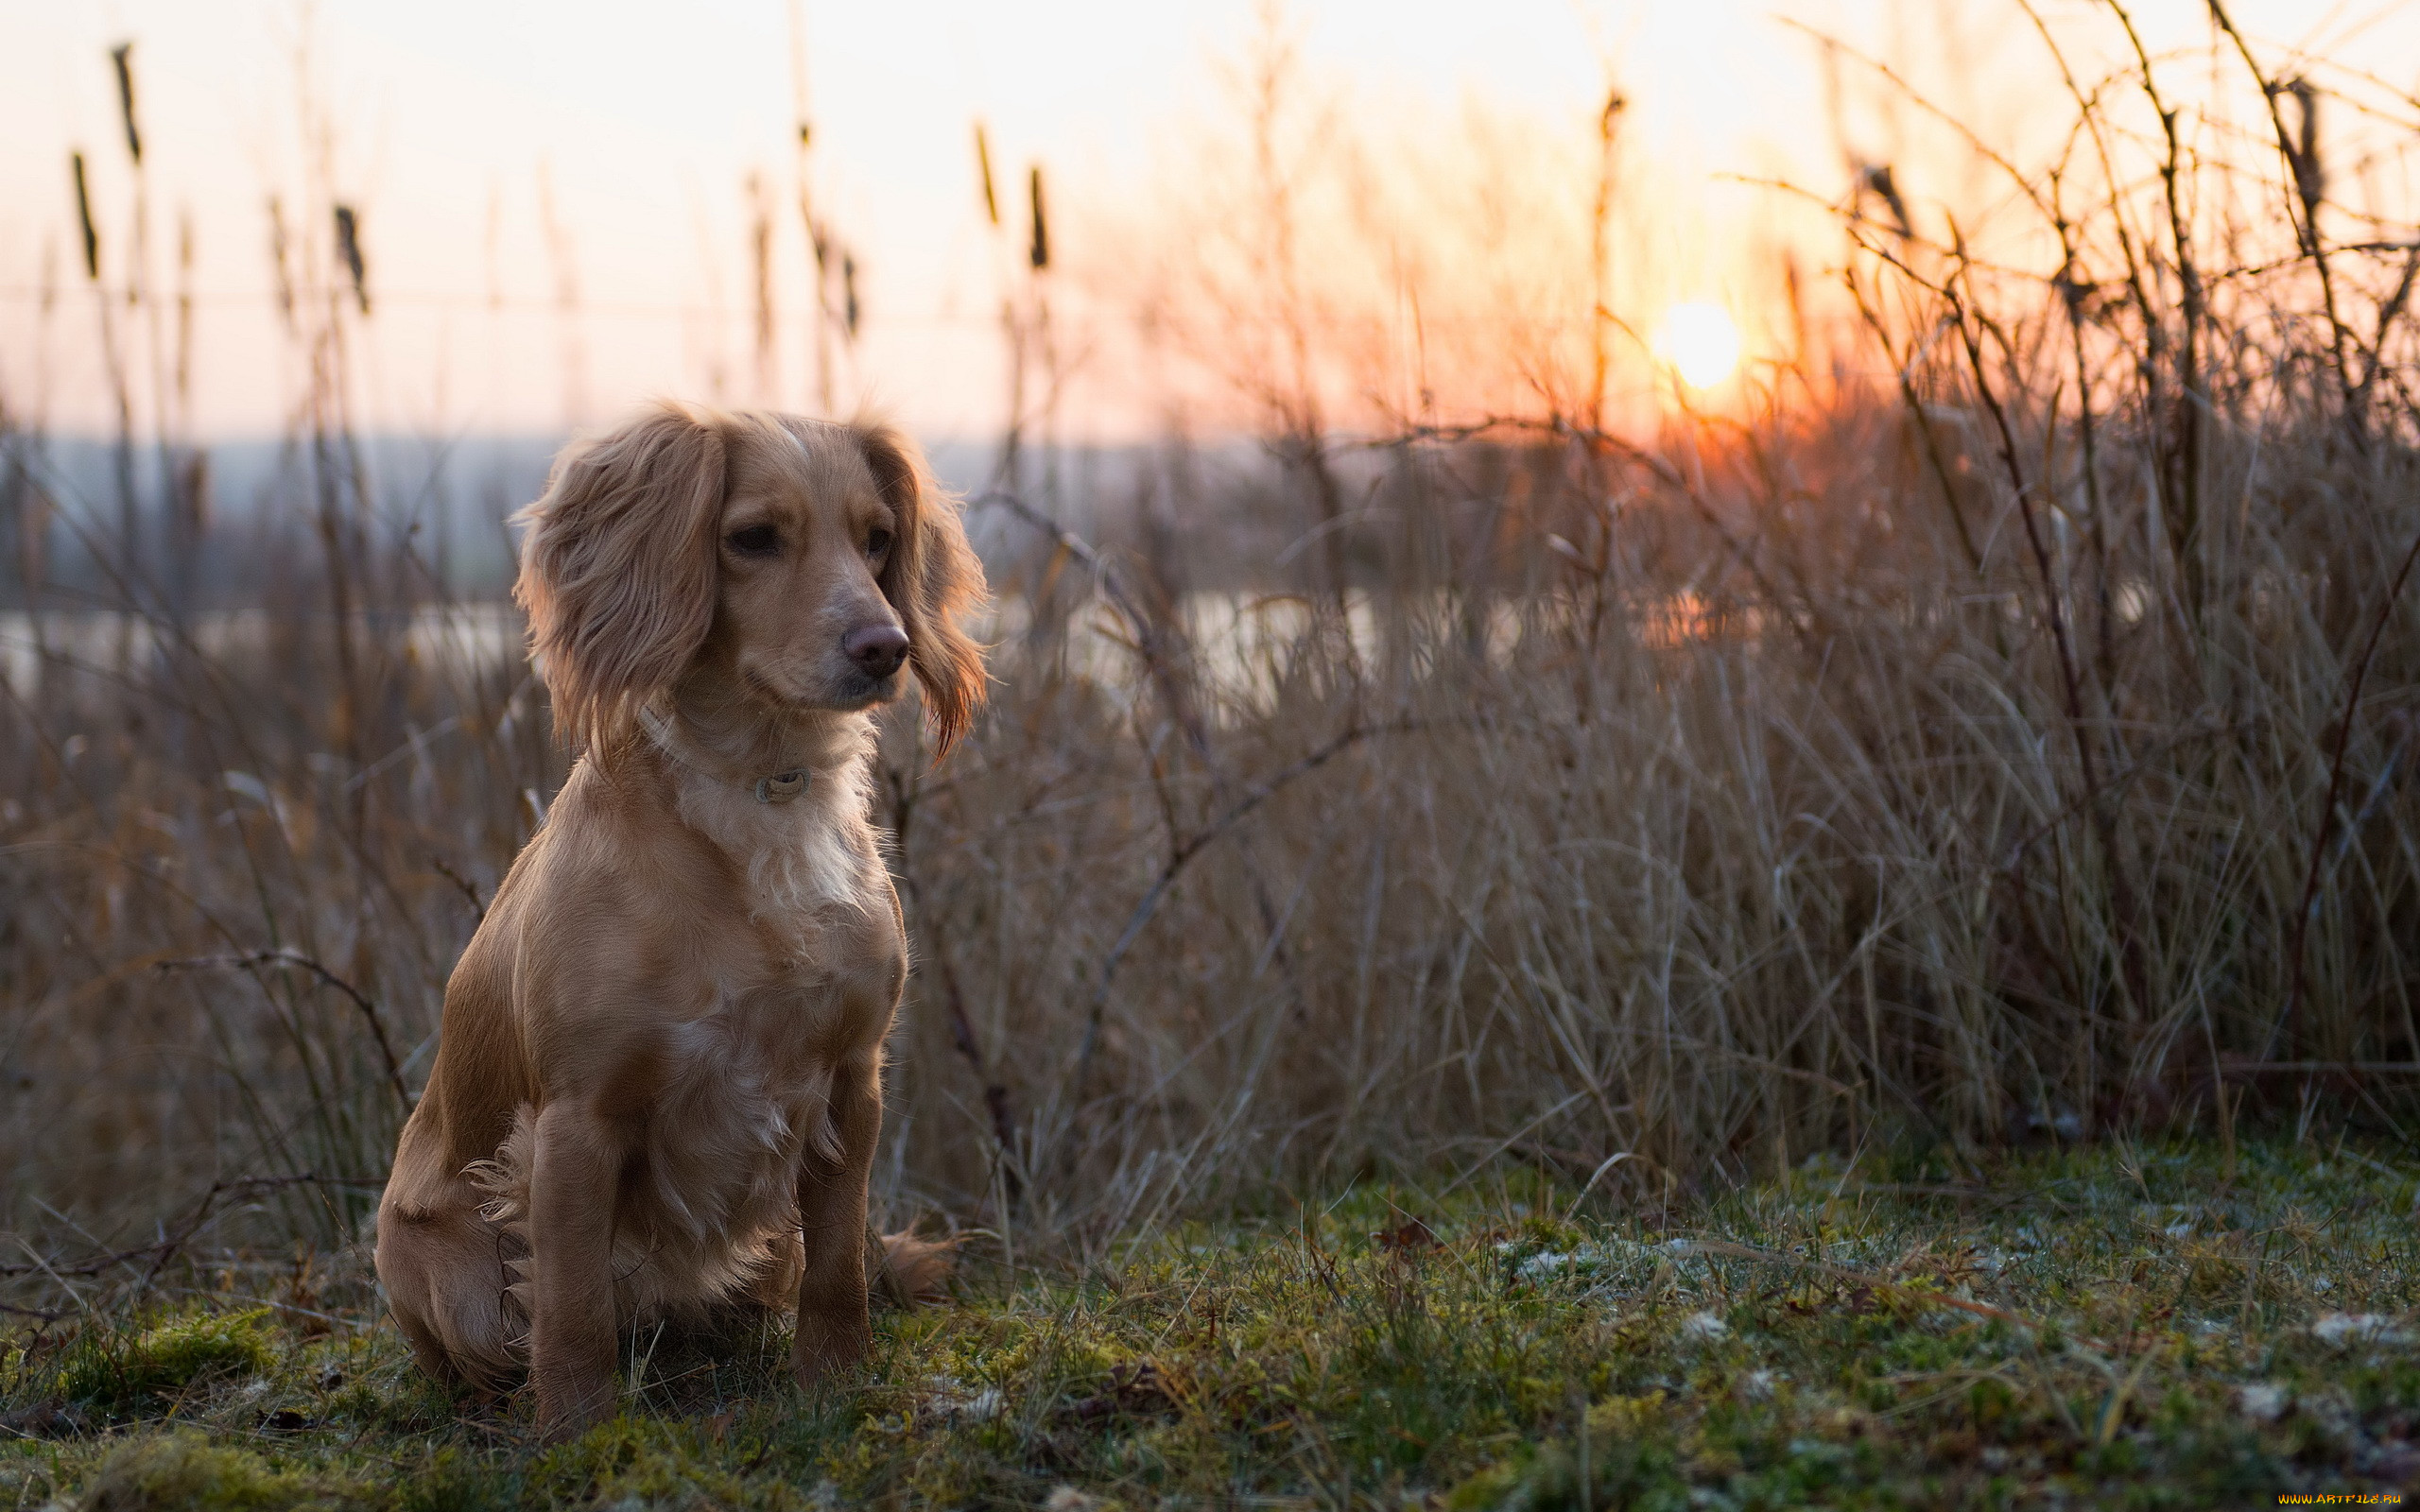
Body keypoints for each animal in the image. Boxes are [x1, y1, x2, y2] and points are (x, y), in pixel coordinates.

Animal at [377, 399, 982, 1422]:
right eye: (753, 538)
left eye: (877, 539)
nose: (885, 647)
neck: (762, 784)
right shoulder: (575, 1123)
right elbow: (573, 1303)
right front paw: (579, 1427)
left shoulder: (850, 1080)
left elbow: (839, 1268)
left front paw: (837, 1381)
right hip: (446, 1274)